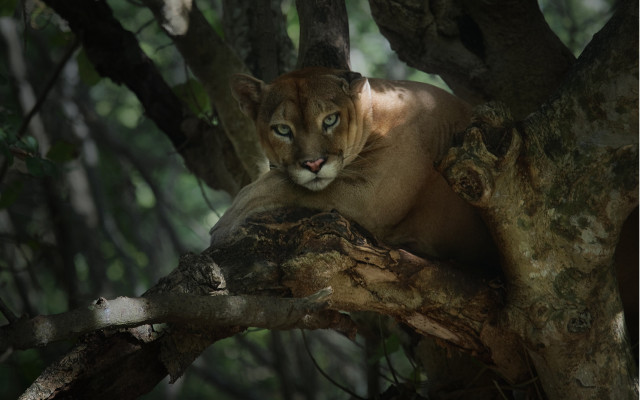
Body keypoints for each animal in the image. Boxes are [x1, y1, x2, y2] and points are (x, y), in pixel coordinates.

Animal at [210, 67, 497, 265]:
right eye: (282, 129)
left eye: (330, 120)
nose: (313, 164)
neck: (374, 114)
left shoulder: (371, 199)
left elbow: (280, 183)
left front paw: (224, 224)